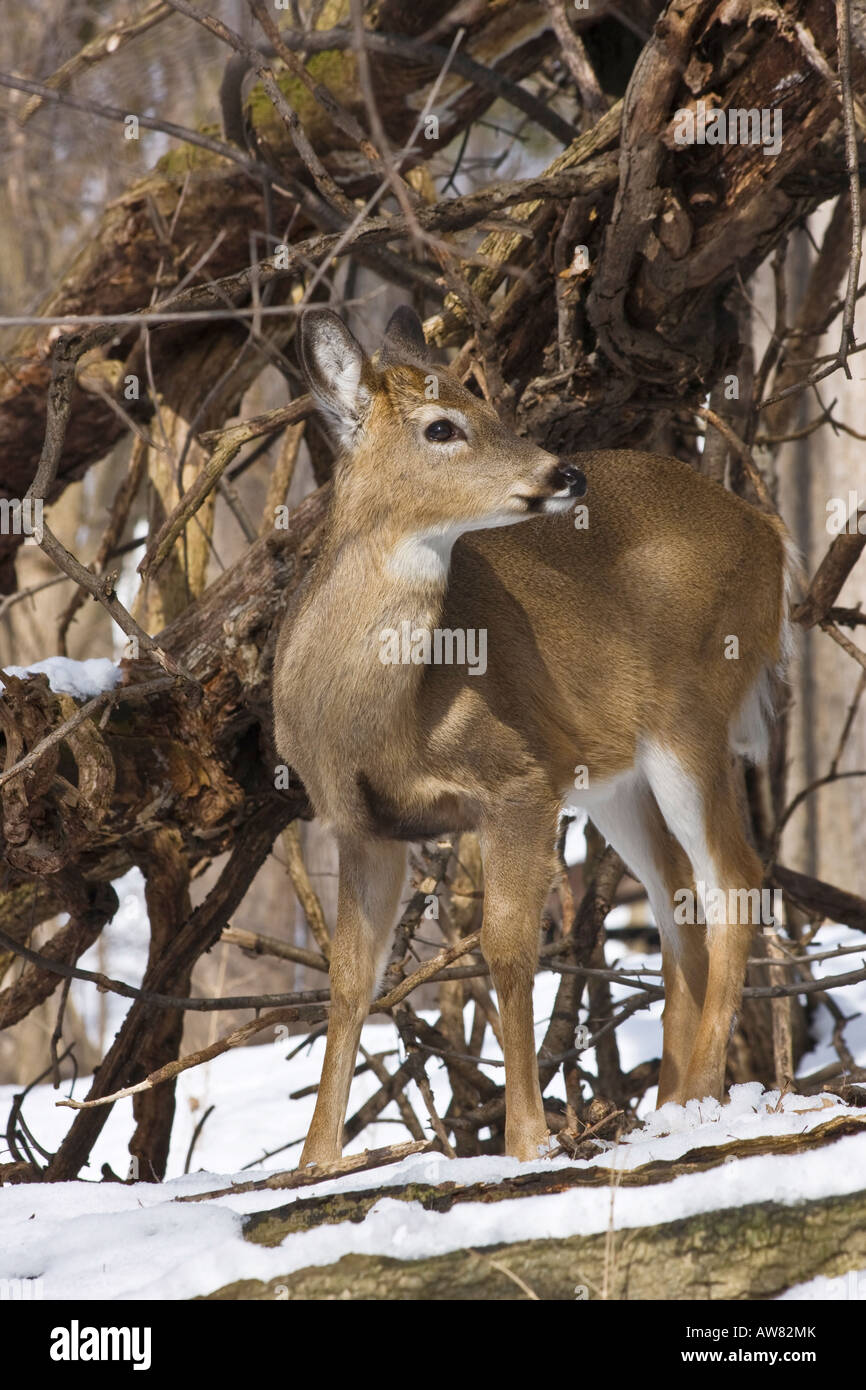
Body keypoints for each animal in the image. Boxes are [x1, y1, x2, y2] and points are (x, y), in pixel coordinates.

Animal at [273, 309, 795, 1167]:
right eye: (442, 426)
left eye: (490, 406)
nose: (564, 474)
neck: (384, 718)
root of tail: (769, 529)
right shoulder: (358, 822)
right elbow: (348, 977)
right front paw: (315, 1161)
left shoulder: (518, 778)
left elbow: (509, 948)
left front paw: (527, 1138)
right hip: (615, 776)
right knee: (678, 900)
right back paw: (667, 1104)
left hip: (690, 714)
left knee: (736, 876)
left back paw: (703, 1097)